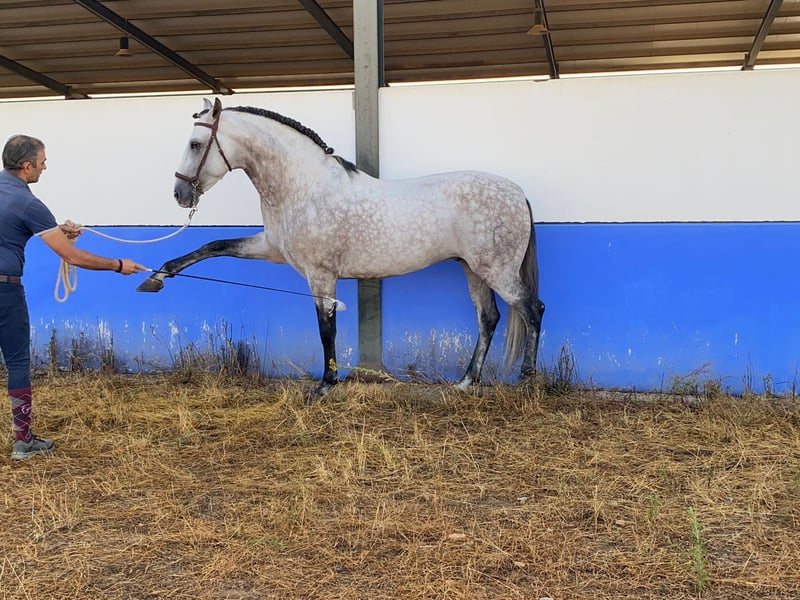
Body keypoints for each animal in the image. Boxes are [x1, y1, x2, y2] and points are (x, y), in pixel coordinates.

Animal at [138, 98, 545, 398]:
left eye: (195, 144)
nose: (180, 194)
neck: (304, 187)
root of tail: (518, 193)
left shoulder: (320, 274)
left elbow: (326, 329)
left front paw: (325, 386)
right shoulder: (270, 249)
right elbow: (214, 244)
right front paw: (156, 278)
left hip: (496, 270)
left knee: (532, 310)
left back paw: (527, 380)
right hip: (472, 268)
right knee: (488, 318)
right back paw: (465, 382)